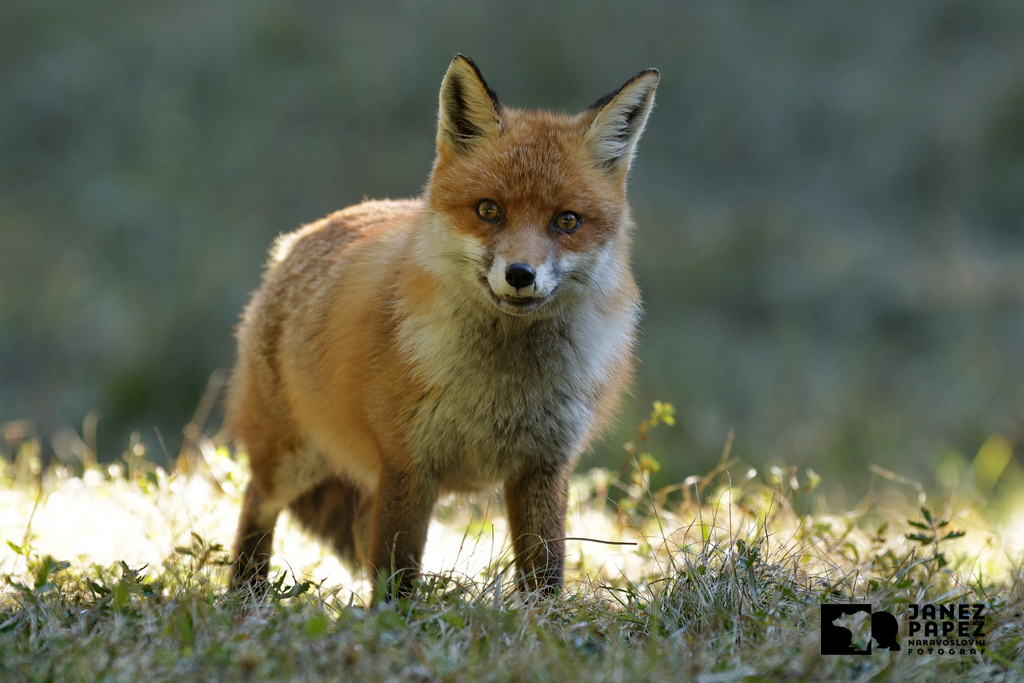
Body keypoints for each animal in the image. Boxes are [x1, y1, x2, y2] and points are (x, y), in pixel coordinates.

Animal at [229, 53, 659, 598]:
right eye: (489, 210)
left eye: (567, 221)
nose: (520, 274)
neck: (502, 388)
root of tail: (298, 239)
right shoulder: (407, 462)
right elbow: (397, 571)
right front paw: (393, 620)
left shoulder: (544, 467)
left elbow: (546, 572)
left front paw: (547, 621)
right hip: (294, 457)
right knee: (256, 500)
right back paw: (245, 589)